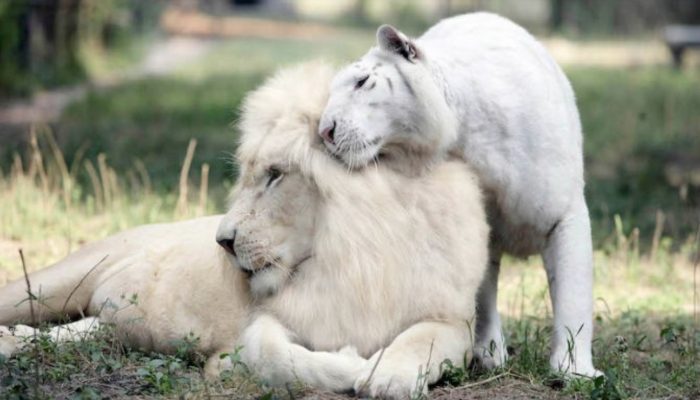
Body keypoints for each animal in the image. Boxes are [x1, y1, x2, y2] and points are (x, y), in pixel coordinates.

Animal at [0, 62, 489, 398]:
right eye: (251, 175)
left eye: (274, 175)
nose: (223, 241)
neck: (355, 255)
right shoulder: (266, 323)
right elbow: (276, 357)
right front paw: (353, 363)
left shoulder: (453, 319)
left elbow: (420, 340)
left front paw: (388, 374)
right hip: (51, 283)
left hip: (106, 323)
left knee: (74, 331)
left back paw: (12, 342)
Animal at [317, 13, 599, 377]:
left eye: (362, 81)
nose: (324, 131)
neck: (466, 132)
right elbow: (482, 294)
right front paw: (490, 354)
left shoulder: (565, 214)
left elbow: (573, 294)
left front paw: (574, 370)